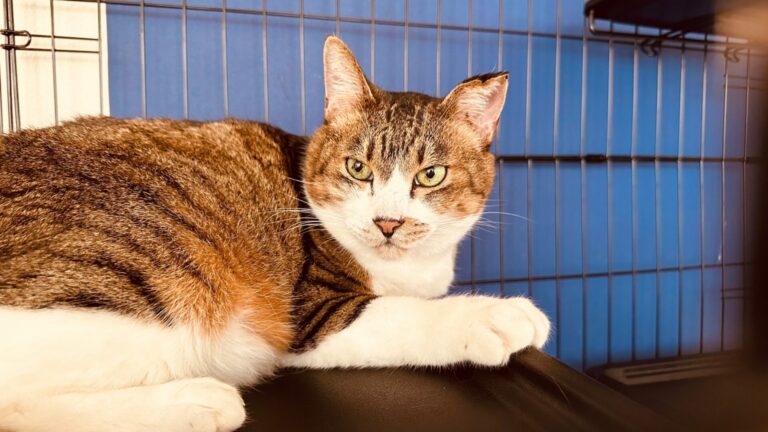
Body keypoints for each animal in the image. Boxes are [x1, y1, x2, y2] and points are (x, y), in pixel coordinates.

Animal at [0, 36, 550, 432]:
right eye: (357, 169)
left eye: (430, 175)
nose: (387, 222)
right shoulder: (315, 312)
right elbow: (407, 315)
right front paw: (500, 316)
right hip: (143, 281)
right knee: (18, 402)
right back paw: (199, 402)